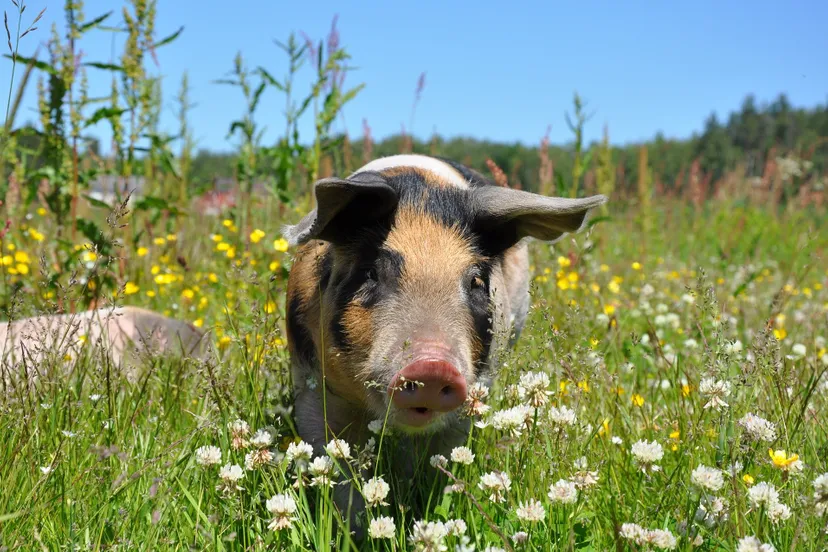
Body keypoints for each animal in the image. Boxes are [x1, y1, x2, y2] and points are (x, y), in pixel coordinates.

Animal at [283, 154, 606, 528]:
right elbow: (336, 467)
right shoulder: (309, 383)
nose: (433, 365)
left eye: (476, 281)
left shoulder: (472, 395)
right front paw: (353, 529)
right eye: (372, 273)